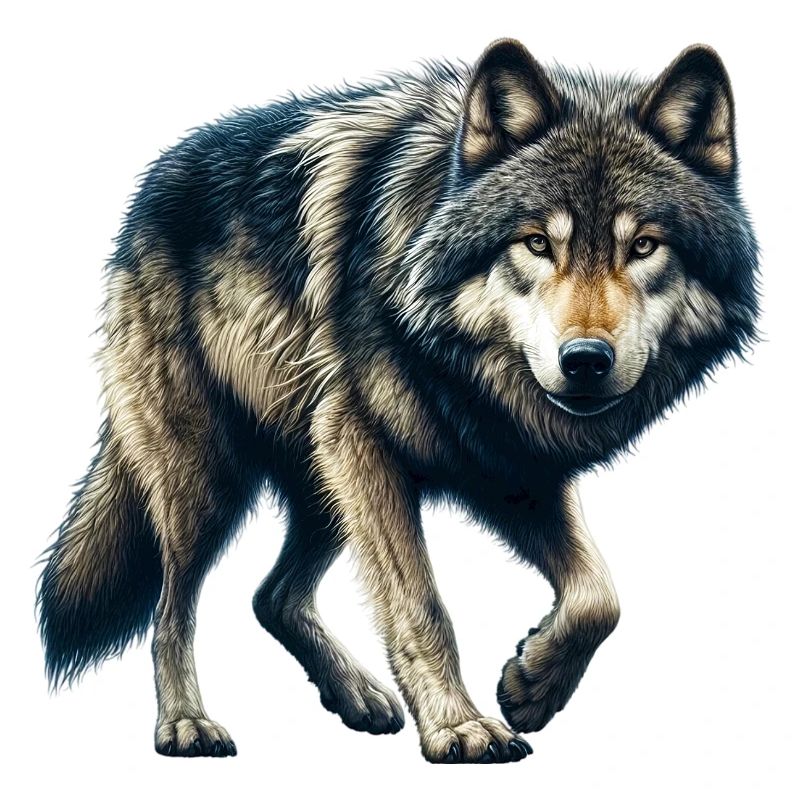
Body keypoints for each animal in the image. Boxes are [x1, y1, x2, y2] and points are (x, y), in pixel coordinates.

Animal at [37, 39, 759, 763]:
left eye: (643, 246)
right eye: (536, 243)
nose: (585, 361)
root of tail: (150, 186)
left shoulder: (508, 468)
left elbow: (600, 597)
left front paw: (532, 686)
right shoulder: (367, 443)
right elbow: (421, 605)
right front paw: (459, 727)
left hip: (324, 480)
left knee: (272, 597)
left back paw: (355, 694)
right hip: (213, 480)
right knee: (171, 608)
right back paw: (186, 723)